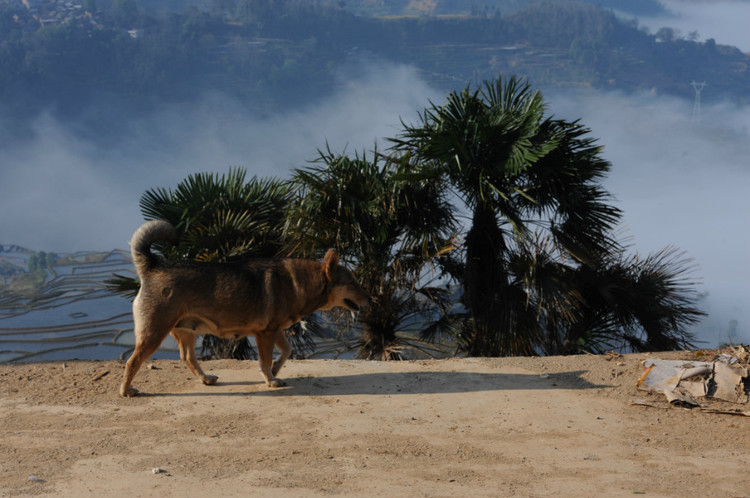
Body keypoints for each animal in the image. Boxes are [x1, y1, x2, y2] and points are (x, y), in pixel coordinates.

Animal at [119, 221, 374, 396]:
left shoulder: (274, 331)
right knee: (133, 362)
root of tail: (153, 266)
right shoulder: (265, 334)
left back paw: (206, 379)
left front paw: (276, 370)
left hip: (186, 331)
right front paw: (270, 380)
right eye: (352, 282)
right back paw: (126, 390)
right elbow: (264, 360)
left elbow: (286, 351)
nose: (371, 299)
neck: (298, 282)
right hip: (154, 333)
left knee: (188, 358)